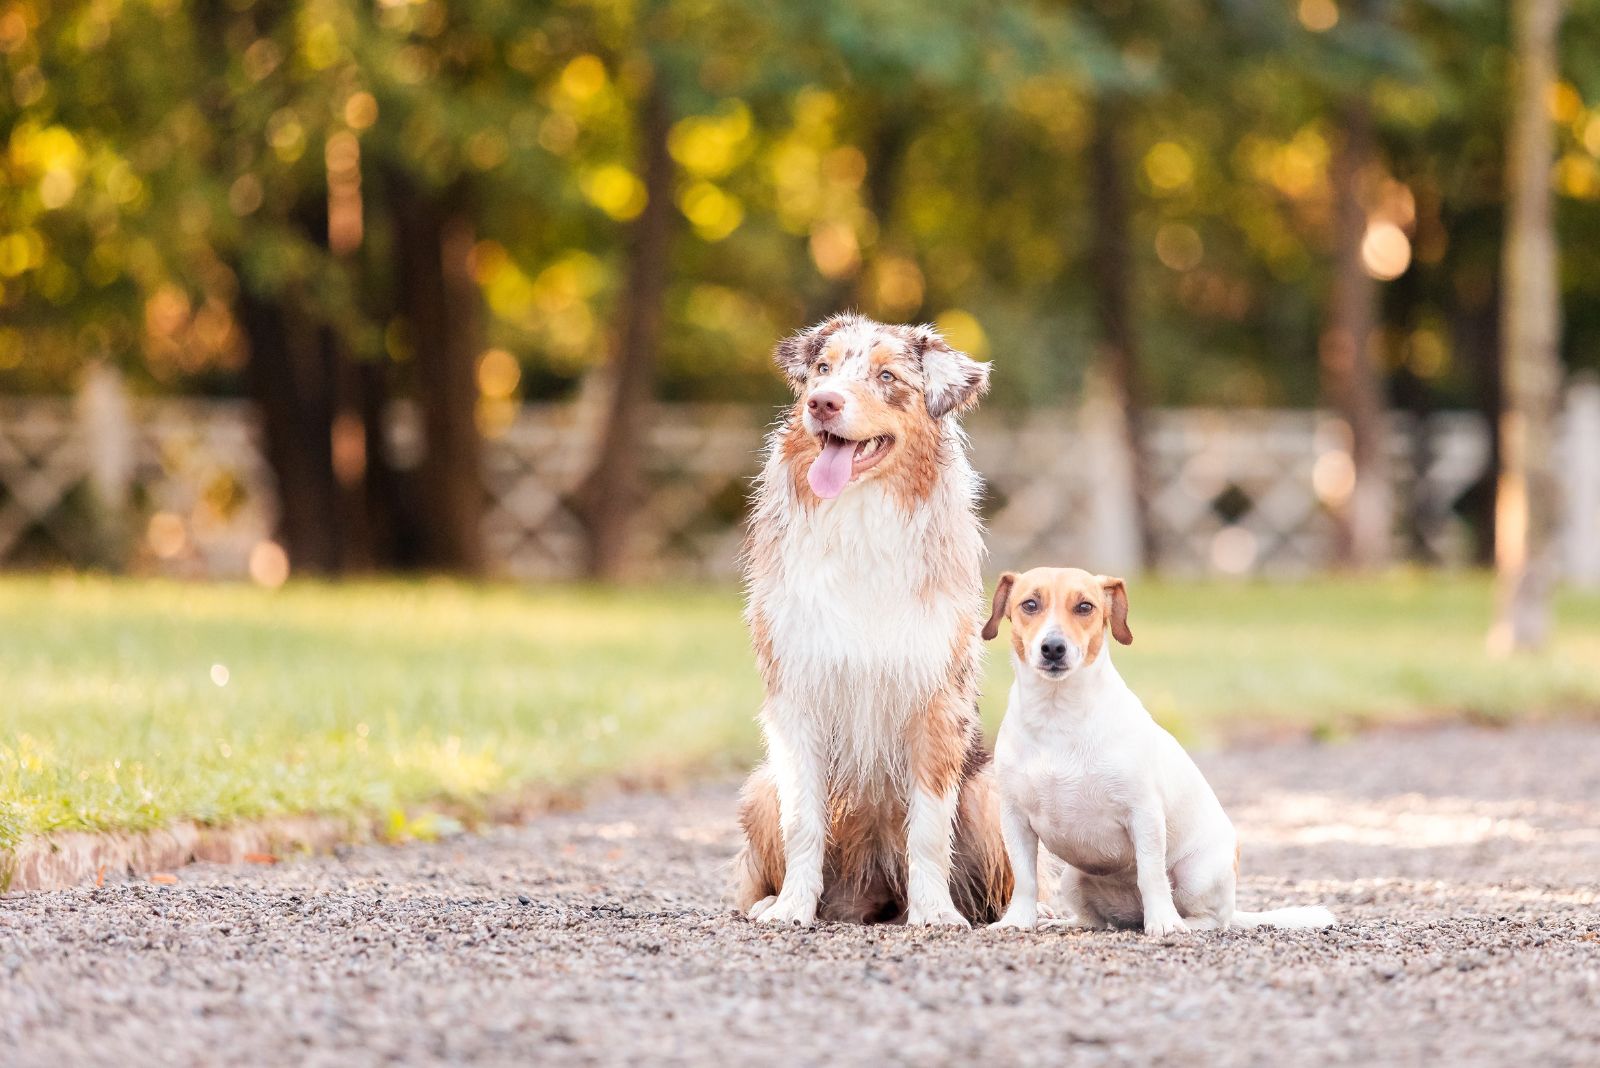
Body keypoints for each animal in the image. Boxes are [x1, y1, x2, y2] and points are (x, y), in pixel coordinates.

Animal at [729, 310, 1004, 927]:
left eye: (886, 377)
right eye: (822, 369)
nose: (822, 403)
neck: (859, 519)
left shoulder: (936, 702)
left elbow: (928, 830)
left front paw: (935, 913)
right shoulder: (797, 694)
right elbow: (802, 822)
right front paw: (792, 908)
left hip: (994, 786)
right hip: (758, 787)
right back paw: (770, 903)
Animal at [979, 565, 1331, 933]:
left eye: (1085, 607)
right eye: (1030, 604)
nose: (1053, 647)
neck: (1056, 715)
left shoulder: (1143, 813)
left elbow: (1150, 874)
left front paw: (1163, 922)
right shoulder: (1014, 819)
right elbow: (1025, 878)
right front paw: (1017, 920)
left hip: (1196, 875)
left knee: (1211, 918)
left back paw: (1183, 923)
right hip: (1073, 879)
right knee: (1093, 920)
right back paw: (1068, 923)